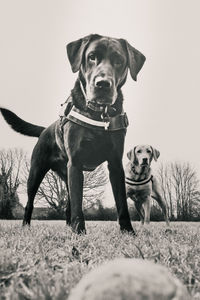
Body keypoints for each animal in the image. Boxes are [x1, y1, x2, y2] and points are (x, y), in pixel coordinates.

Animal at [0, 34, 145, 233]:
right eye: (91, 57)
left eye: (119, 60)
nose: (102, 84)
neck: (98, 114)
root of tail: (45, 129)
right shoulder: (75, 163)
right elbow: (78, 204)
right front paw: (80, 232)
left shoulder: (115, 164)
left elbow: (121, 202)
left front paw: (128, 232)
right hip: (36, 172)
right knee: (31, 203)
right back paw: (26, 226)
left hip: (66, 174)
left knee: (69, 202)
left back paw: (69, 226)